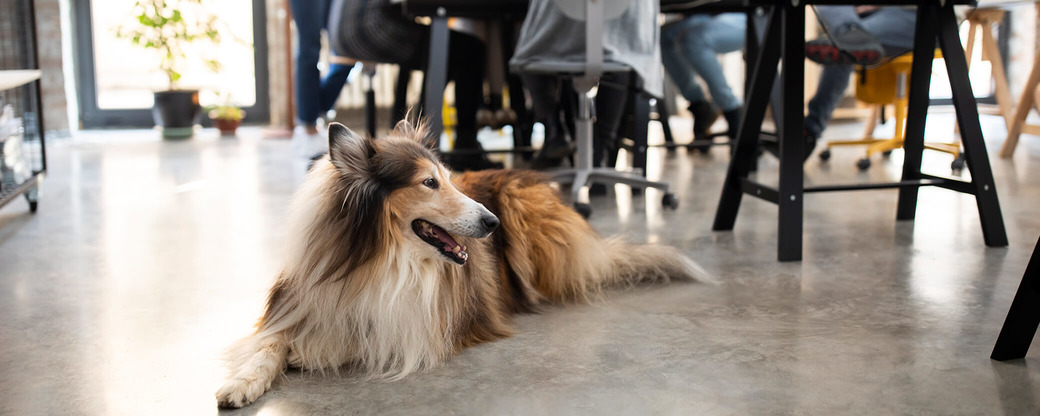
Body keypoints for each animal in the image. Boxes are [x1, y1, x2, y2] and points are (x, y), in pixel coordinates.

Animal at [214, 119, 703, 405]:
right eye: (429, 183)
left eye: (448, 178)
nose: (492, 223)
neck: (381, 262)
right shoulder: (299, 303)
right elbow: (269, 344)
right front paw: (242, 382)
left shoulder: (414, 324)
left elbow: (354, 336)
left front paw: (311, 350)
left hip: (524, 209)